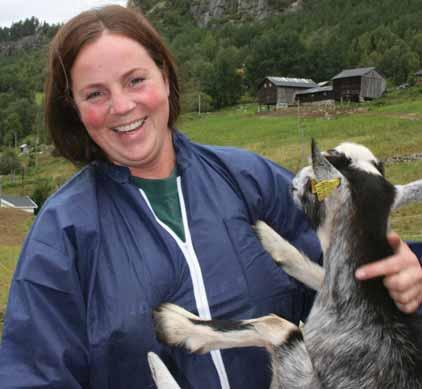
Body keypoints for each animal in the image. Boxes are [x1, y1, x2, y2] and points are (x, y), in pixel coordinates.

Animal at [148, 140, 422, 388]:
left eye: (326, 159)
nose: (293, 180)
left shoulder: (305, 381)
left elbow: (277, 324)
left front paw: (176, 325)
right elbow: (316, 272)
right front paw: (270, 238)